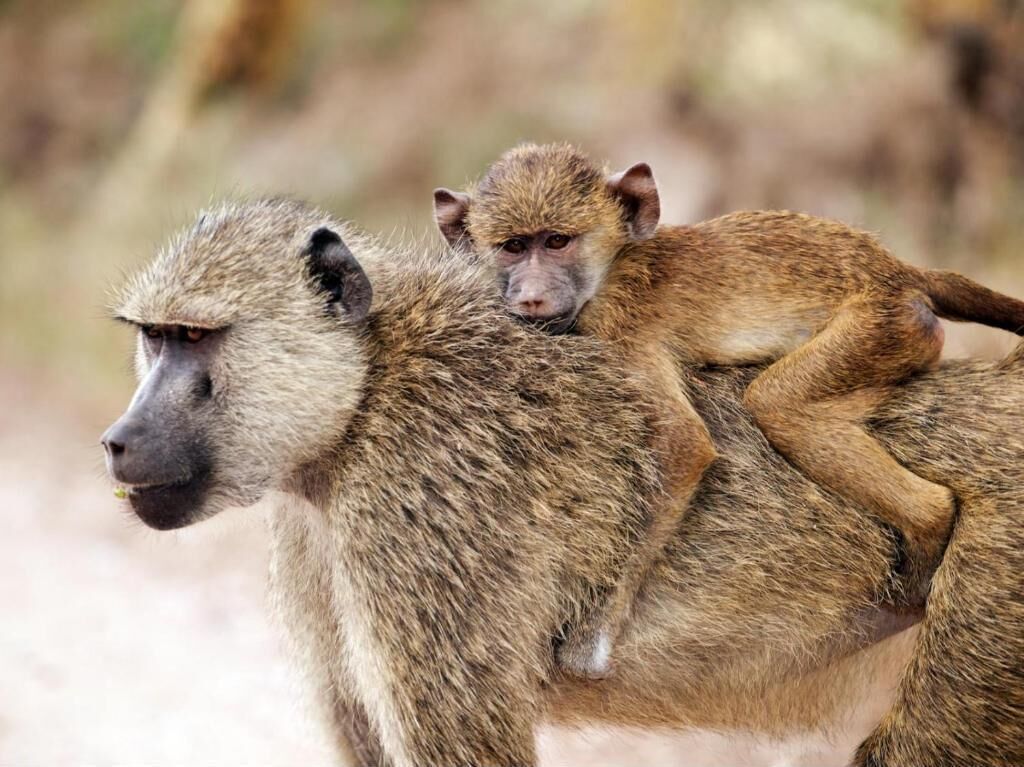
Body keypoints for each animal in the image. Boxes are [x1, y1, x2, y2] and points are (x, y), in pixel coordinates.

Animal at [434, 142, 1024, 676]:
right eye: (513, 247)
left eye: (556, 241)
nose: (530, 297)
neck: (616, 261)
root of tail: (898, 270)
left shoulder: (617, 324)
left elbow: (683, 444)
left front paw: (592, 637)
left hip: (886, 326)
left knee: (778, 405)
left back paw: (928, 526)